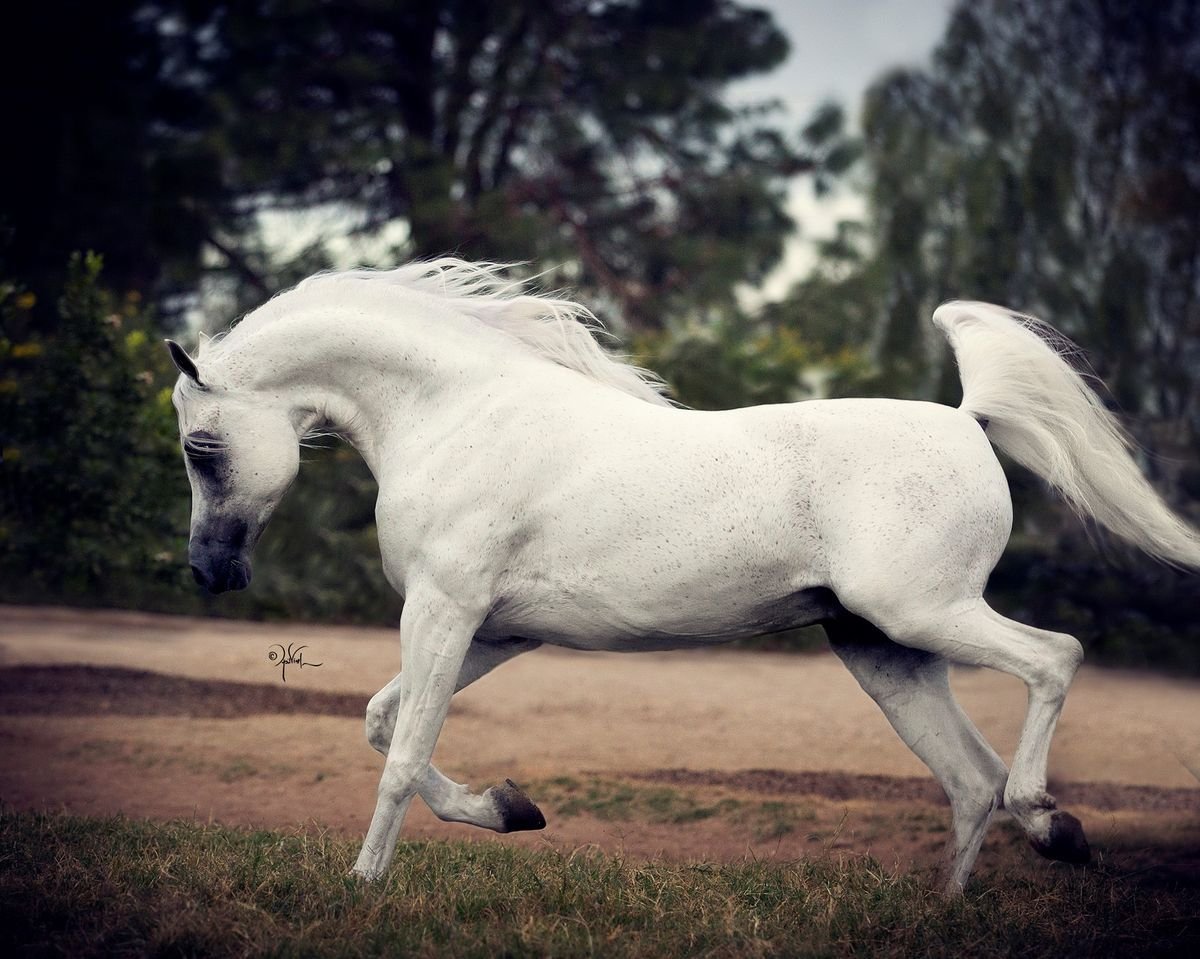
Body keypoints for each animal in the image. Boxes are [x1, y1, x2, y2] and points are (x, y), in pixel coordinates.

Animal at [166, 256, 1200, 892]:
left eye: (200, 447)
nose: (210, 572)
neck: (459, 414)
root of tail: (967, 418)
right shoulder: (494, 628)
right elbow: (385, 726)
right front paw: (513, 809)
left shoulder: (446, 612)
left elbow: (402, 753)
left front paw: (365, 886)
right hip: (884, 652)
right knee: (968, 778)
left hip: (925, 613)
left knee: (1052, 662)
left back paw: (1054, 823)